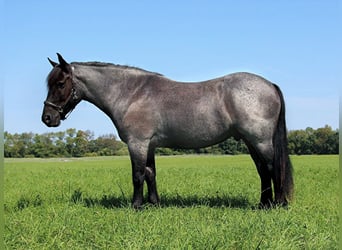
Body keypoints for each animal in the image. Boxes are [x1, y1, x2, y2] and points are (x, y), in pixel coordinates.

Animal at [42, 53, 294, 209]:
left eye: (61, 83)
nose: (47, 118)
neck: (132, 94)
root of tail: (269, 85)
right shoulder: (149, 145)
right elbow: (150, 174)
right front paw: (155, 204)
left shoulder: (137, 143)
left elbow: (137, 175)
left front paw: (136, 206)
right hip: (251, 142)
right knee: (262, 171)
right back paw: (262, 205)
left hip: (260, 141)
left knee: (272, 168)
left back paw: (276, 205)